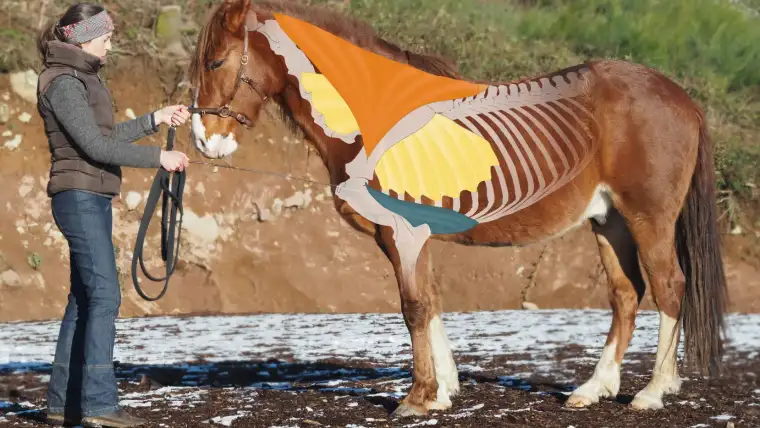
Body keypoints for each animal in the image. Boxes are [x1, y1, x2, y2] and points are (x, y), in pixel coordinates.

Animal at [187, 0, 728, 417]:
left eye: (215, 63)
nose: (203, 141)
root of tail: (680, 96)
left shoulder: (403, 233)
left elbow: (414, 307)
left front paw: (416, 398)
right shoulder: (411, 237)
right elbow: (430, 302)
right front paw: (443, 392)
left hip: (648, 220)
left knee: (670, 288)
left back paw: (652, 392)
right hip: (608, 221)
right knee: (626, 294)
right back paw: (593, 389)